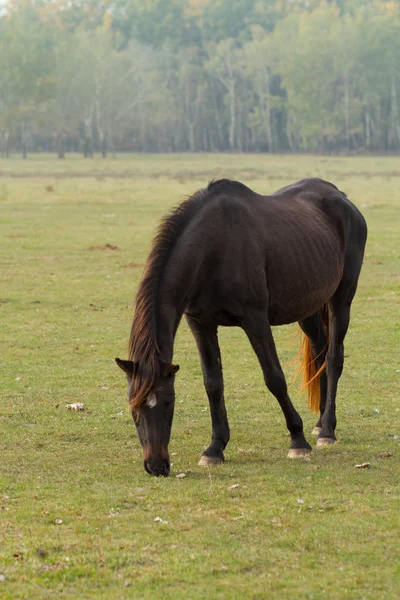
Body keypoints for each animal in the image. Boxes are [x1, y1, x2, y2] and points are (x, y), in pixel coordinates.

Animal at [115, 176, 366, 476]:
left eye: (168, 402)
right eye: (133, 408)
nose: (156, 466)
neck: (213, 249)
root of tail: (342, 197)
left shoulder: (255, 319)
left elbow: (274, 378)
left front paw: (298, 440)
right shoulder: (200, 322)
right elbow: (213, 383)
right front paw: (215, 448)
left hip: (341, 298)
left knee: (333, 358)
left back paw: (327, 430)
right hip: (309, 306)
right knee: (320, 354)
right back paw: (320, 423)